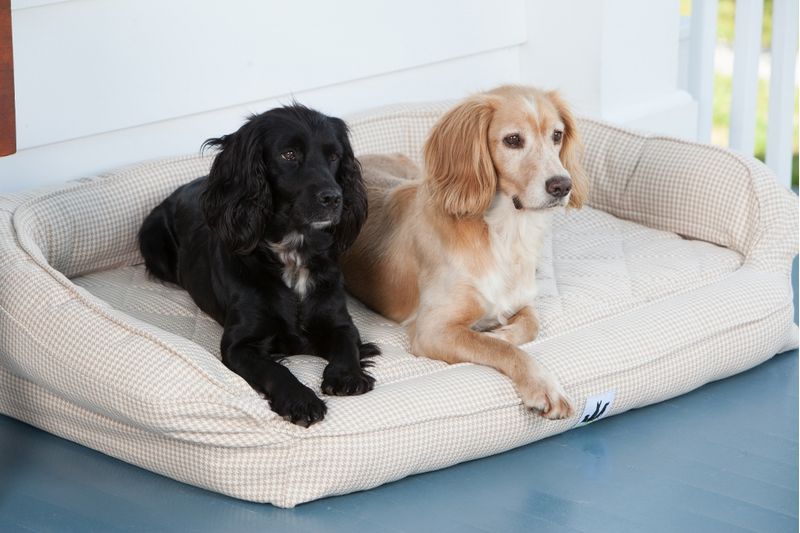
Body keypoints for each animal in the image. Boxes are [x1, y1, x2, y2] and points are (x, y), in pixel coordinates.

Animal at [139, 105, 380, 428]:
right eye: (289, 154)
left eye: (334, 155)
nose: (334, 198)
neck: (293, 253)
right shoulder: (239, 344)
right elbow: (275, 370)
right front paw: (299, 400)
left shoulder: (338, 320)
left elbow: (347, 343)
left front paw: (347, 376)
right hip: (152, 242)